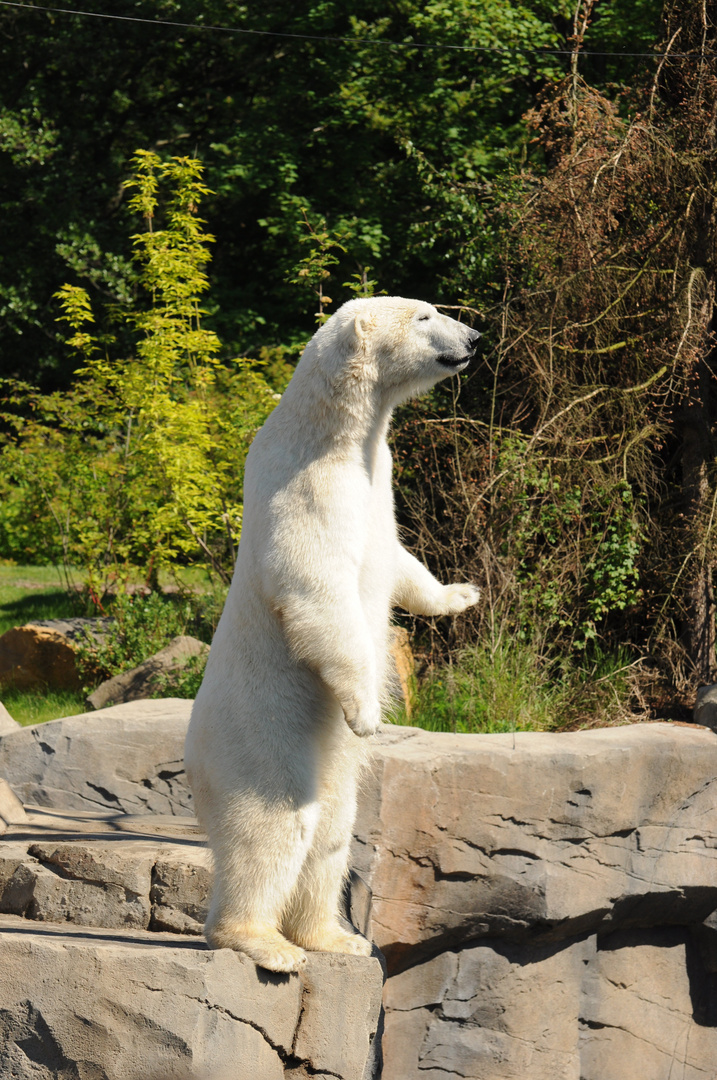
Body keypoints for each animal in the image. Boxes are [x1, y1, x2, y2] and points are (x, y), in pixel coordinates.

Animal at [185, 295, 481, 972]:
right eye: (425, 317)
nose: (475, 337)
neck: (334, 433)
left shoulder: (379, 480)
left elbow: (398, 559)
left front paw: (461, 594)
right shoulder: (309, 487)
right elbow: (316, 590)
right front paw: (367, 713)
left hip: (319, 758)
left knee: (334, 830)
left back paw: (334, 936)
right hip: (260, 735)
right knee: (276, 824)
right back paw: (264, 943)